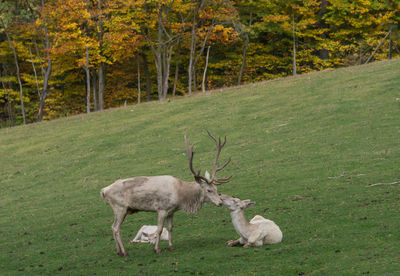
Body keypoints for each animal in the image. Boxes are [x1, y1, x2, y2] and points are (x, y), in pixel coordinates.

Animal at [99, 132, 231, 256]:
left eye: (216, 188)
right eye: (209, 190)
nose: (220, 202)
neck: (180, 196)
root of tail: (104, 191)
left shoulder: (171, 211)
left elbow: (170, 228)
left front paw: (171, 247)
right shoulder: (161, 209)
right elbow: (159, 229)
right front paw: (157, 249)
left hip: (121, 209)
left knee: (112, 227)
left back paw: (118, 251)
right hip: (120, 207)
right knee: (116, 228)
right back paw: (124, 252)